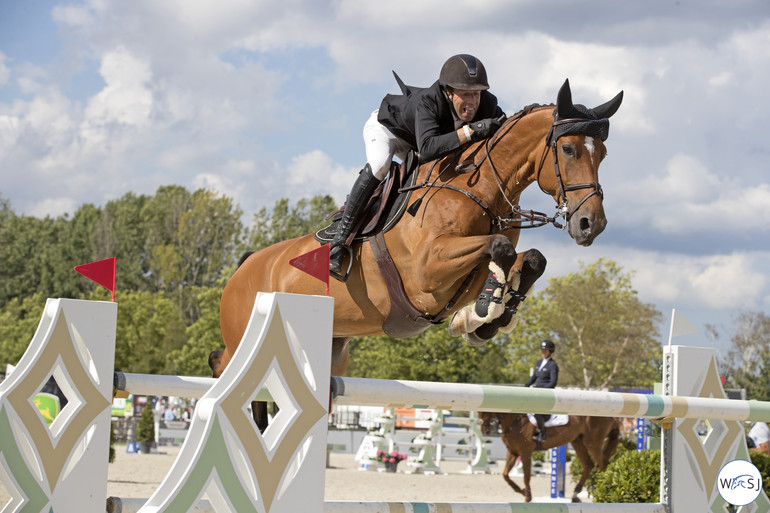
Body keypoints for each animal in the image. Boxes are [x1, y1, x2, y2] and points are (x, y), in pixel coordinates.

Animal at [213, 80, 620, 430]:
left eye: (602, 153)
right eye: (568, 149)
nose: (592, 224)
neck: (480, 189)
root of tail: (244, 266)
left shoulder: (463, 272)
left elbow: (529, 258)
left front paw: (484, 317)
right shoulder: (428, 274)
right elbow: (500, 249)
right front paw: (485, 312)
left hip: (331, 350)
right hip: (242, 341)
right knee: (225, 374)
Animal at [476, 410, 620, 502]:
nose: (485, 430)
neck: (515, 421)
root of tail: (613, 417)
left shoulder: (525, 452)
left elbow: (526, 476)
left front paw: (528, 496)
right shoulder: (513, 452)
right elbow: (505, 475)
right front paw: (521, 491)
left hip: (592, 443)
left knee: (603, 464)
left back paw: (601, 490)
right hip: (577, 441)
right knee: (588, 464)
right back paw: (575, 494)